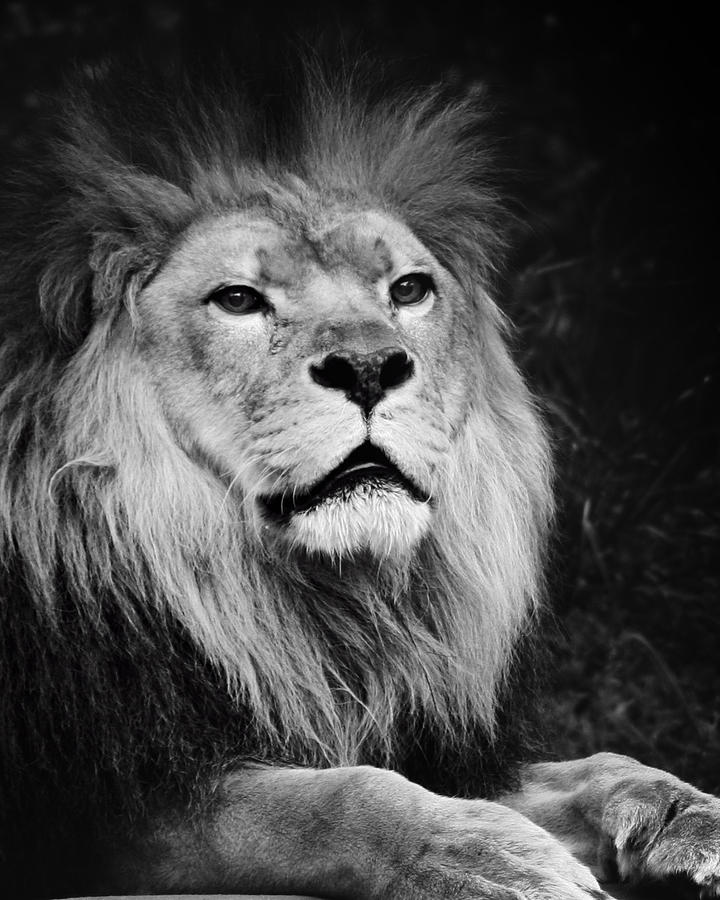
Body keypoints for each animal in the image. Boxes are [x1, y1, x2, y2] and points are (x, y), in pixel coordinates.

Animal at [0, 58, 716, 900]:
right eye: (238, 299)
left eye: (407, 290)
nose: (371, 368)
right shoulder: (122, 808)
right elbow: (340, 797)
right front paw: (490, 857)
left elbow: (584, 768)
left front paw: (678, 813)